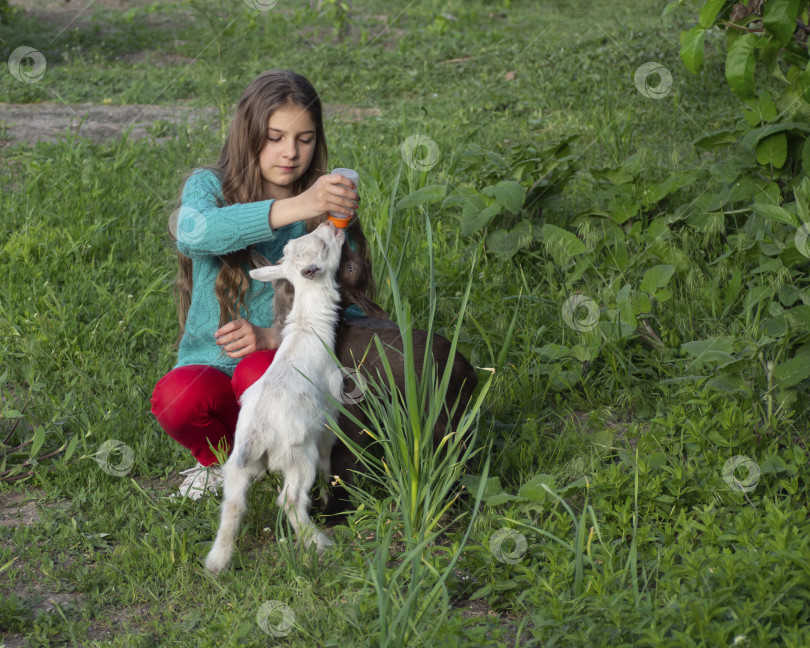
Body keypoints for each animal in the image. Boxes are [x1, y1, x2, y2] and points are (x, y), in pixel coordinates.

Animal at [205, 221, 344, 572]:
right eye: (324, 245)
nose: (330, 224)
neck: (308, 329)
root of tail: (258, 432)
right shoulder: (330, 411)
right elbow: (328, 455)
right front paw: (328, 493)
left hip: (236, 462)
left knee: (233, 505)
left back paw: (217, 562)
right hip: (298, 457)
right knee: (290, 501)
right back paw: (319, 543)